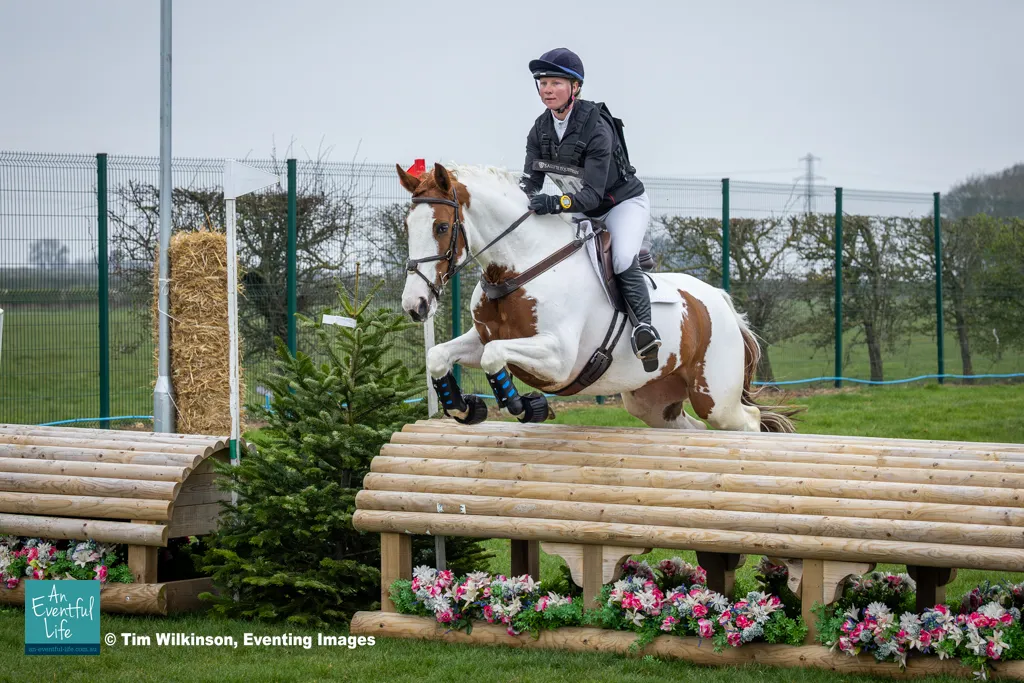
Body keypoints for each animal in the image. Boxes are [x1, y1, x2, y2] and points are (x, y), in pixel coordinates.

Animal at [397, 161, 798, 433]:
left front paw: (528, 406)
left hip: (715, 397)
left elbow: (495, 357)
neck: (520, 267)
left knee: (749, 422)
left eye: (441, 227)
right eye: (406, 226)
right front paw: (462, 407)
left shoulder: (558, 358)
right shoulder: (482, 337)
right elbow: (439, 355)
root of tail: (721, 302)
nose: (415, 306)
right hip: (653, 402)